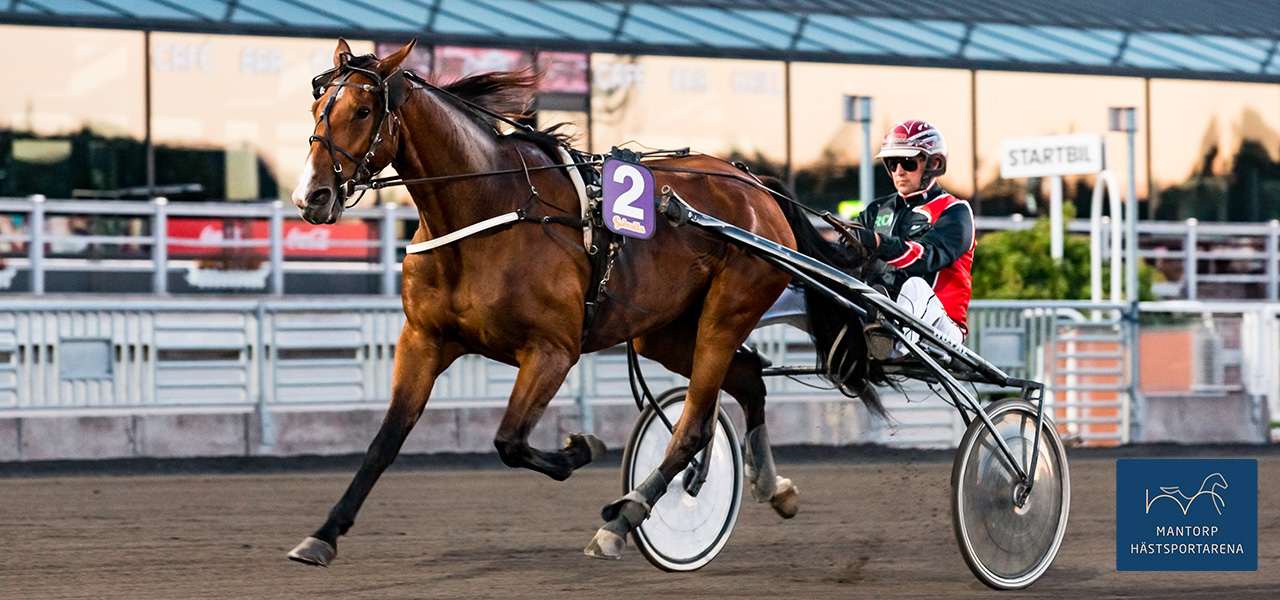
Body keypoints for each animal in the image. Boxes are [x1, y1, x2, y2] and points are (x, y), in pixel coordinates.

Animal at [285, 38, 880, 565]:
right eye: (316, 106)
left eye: (364, 109)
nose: (311, 196)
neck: (488, 206)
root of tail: (757, 187)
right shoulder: (423, 340)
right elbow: (384, 442)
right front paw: (322, 535)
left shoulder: (552, 350)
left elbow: (509, 440)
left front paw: (582, 448)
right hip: (665, 331)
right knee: (749, 379)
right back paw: (771, 486)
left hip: (727, 311)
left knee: (693, 425)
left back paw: (624, 519)